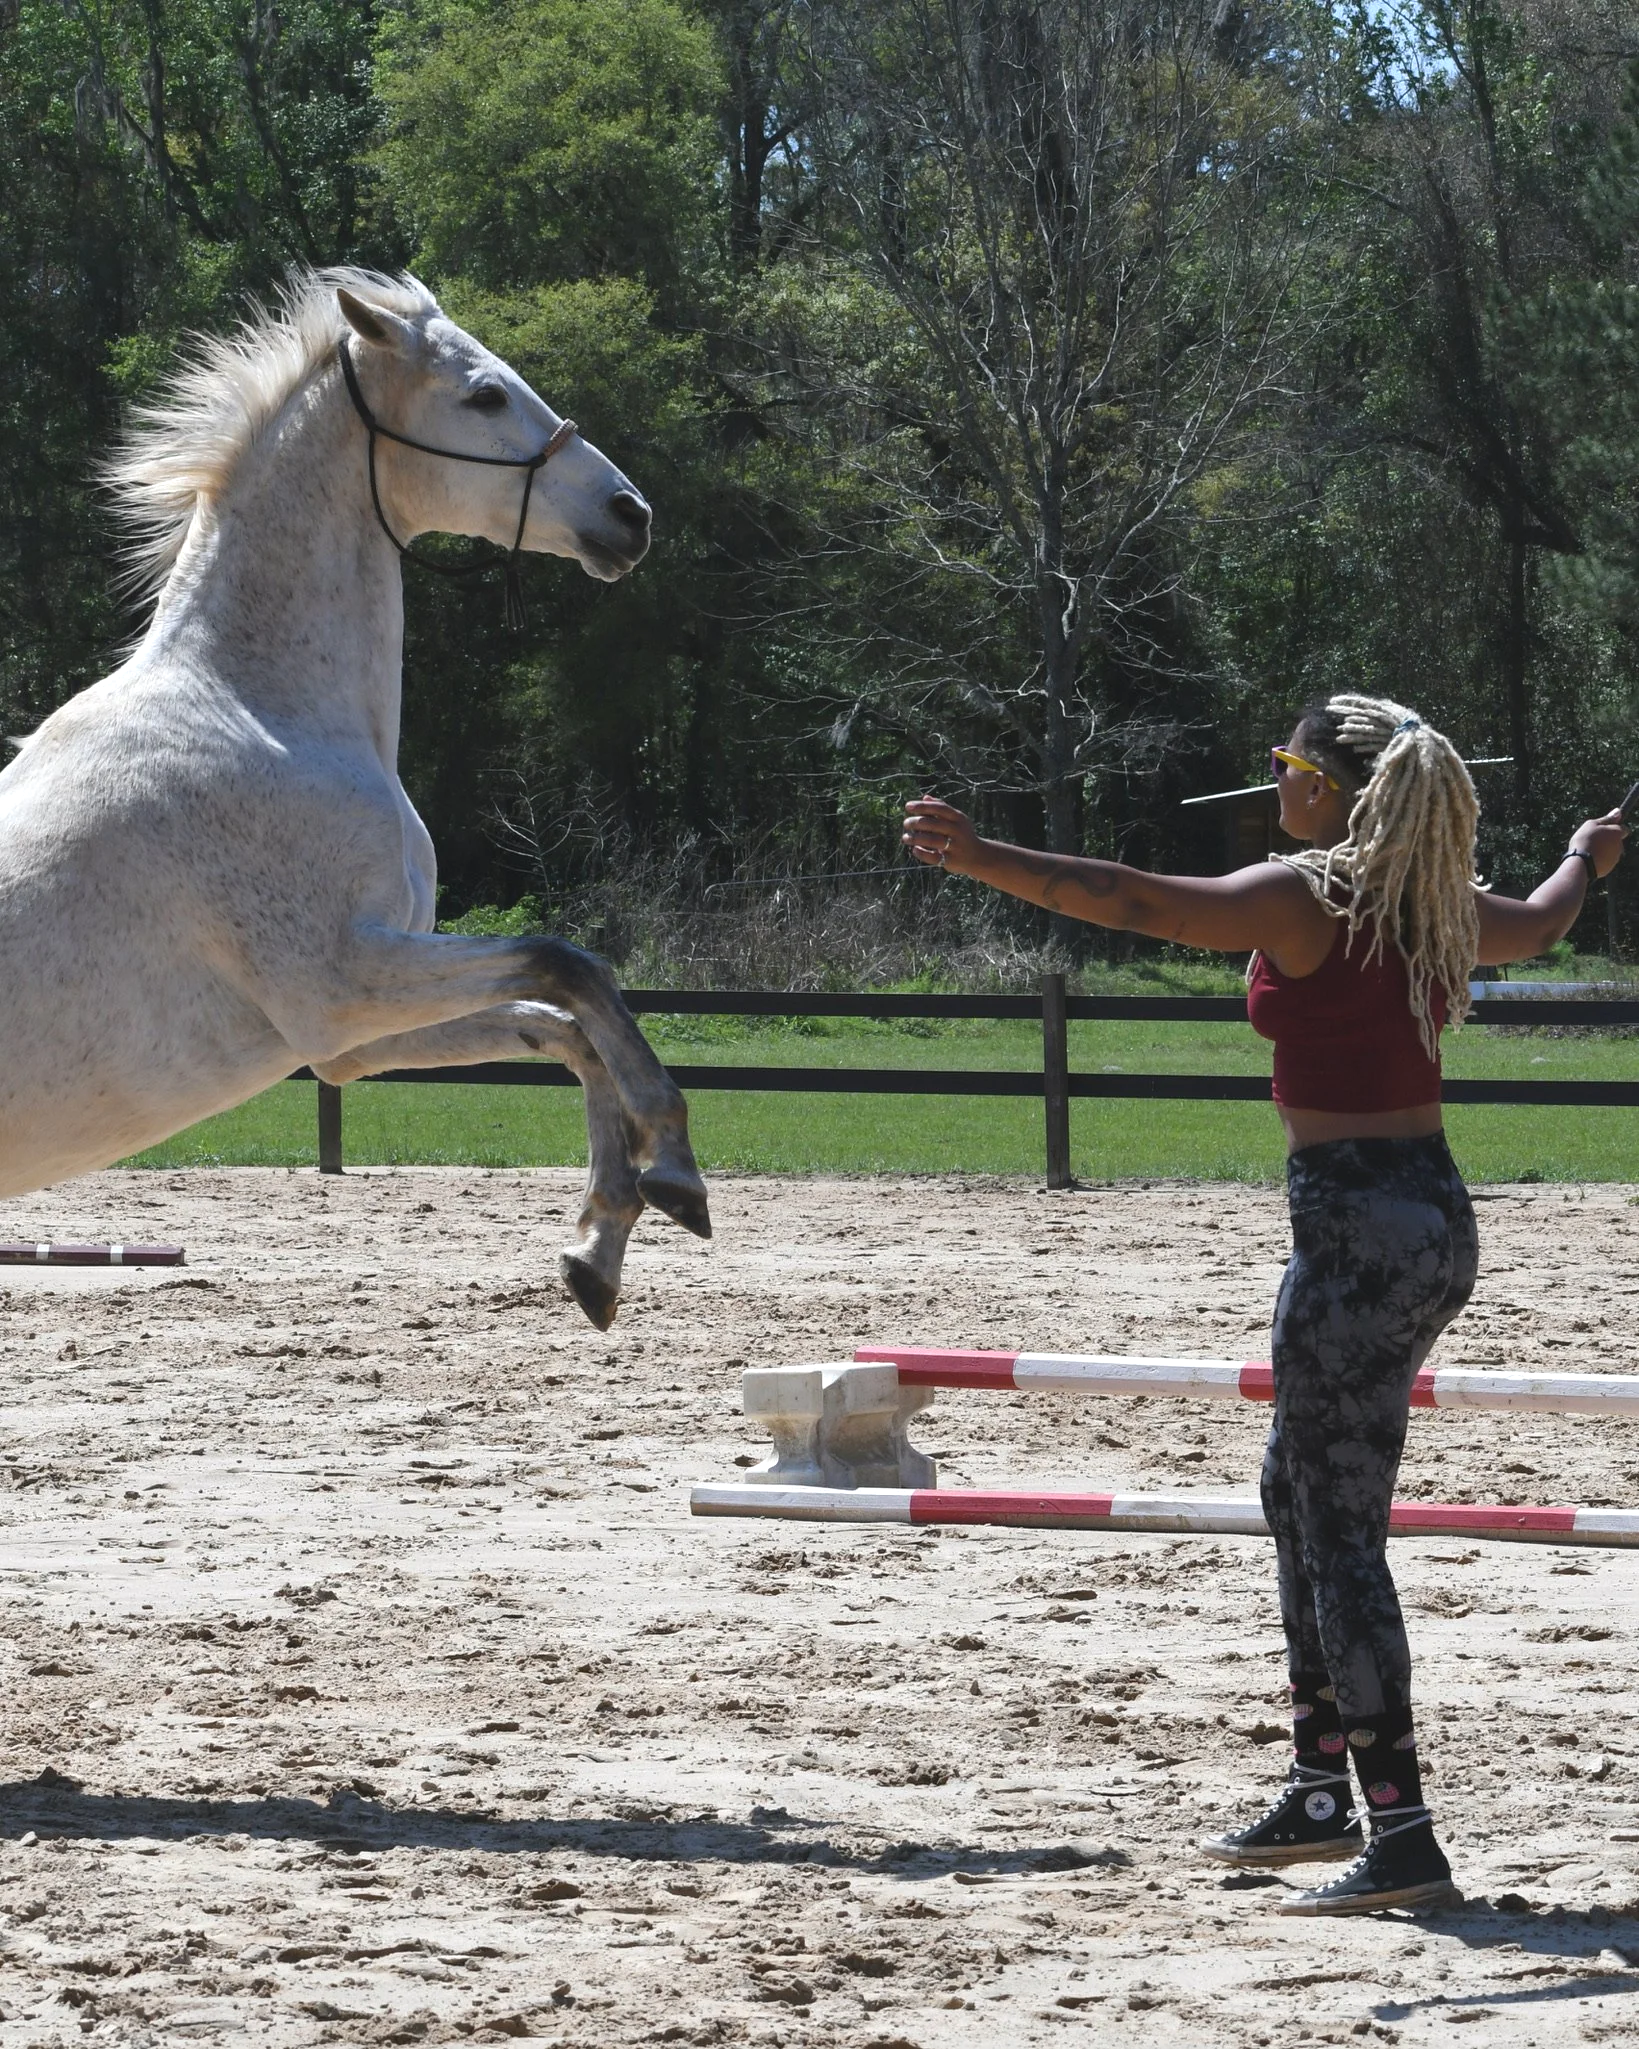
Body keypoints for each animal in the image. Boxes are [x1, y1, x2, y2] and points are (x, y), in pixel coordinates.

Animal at [0, 267, 709, 1330]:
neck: (264, 709)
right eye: (484, 395)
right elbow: (568, 964)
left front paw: (600, 1246)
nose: (632, 516)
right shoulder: (338, 982)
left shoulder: (348, 1038)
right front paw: (674, 1168)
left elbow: (558, 1022)